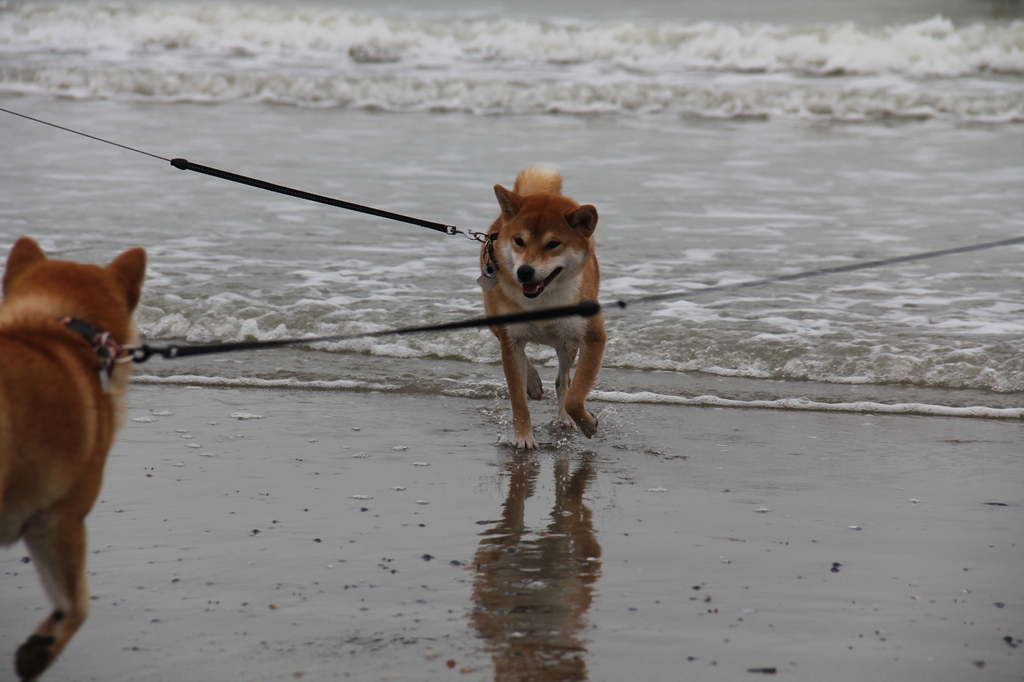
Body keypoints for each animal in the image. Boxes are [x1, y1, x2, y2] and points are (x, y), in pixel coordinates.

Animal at [481, 167, 606, 448]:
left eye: (553, 244)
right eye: (519, 241)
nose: (524, 272)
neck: (543, 299)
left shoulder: (593, 337)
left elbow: (574, 396)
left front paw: (586, 423)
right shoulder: (510, 338)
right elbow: (517, 399)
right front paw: (524, 438)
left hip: (567, 343)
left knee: (563, 382)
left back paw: (564, 419)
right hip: (496, 323)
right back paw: (534, 383)